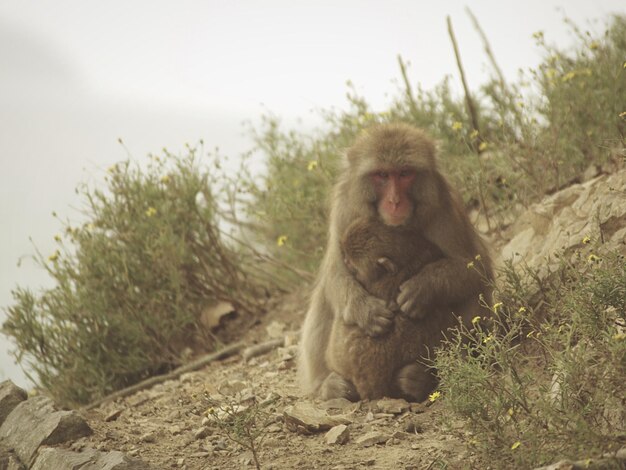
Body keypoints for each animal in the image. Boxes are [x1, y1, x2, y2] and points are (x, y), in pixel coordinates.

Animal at [298, 122, 492, 400]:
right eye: (382, 175)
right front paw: (366, 311)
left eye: (404, 173)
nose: (395, 201)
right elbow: (335, 272)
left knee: (473, 292)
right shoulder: (345, 208)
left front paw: (423, 289)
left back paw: (426, 377)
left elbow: (475, 268)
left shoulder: (441, 207)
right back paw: (328, 385)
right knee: (324, 300)